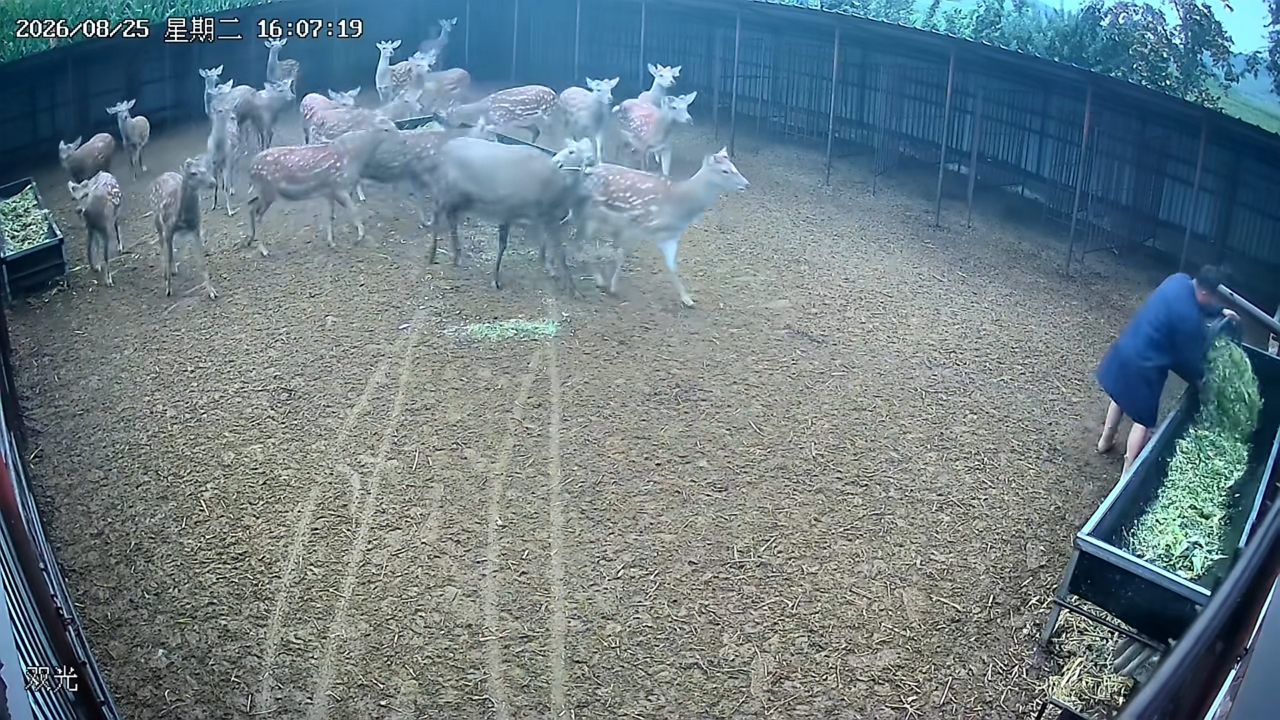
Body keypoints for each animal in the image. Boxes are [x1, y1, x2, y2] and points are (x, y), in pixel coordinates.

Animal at [151, 157, 217, 300]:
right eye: (193, 173)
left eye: (207, 169)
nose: (213, 182)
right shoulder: (168, 228)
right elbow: (168, 254)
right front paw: (168, 289)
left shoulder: (196, 229)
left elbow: (202, 262)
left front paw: (212, 291)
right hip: (156, 219)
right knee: (161, 244)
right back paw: (166, 271)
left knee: (170, 247)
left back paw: (174, 269)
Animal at [244, 124, 398, 257]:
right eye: (387, 129)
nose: (401, 135)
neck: (354, 157)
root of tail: (251, 168)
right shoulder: (339, 186)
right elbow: (353, 209)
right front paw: (359, 237)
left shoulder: (329, 191)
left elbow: (330, 216)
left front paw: (332, 243)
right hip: (267, 191)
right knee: (258, 214)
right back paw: (264, 250)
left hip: (263, 192)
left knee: (251, 205)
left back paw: (250, 241)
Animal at [427, 136, 597, 294]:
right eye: (572, 151)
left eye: (591, 148)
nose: (592, 160)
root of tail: (443, 149)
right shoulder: (512, 211)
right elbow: (558, 252)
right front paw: (574, 289)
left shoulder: (541, 218)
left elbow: (546, 246)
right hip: (446, 191)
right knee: (436, 213)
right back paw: (432, 254)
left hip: (461, 200)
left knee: (451, 220)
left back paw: (456, 257)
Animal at [575, 148, 749, 308]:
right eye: (725, 170)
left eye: (734, 166)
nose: (746, 184)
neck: (679, 204)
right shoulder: (637, 226)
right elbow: (622, 255)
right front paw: (613, 288)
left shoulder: (670, 236)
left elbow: (672, 266)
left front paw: (687, 299)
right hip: (590, 215)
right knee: (582, 242)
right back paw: (598, 278)